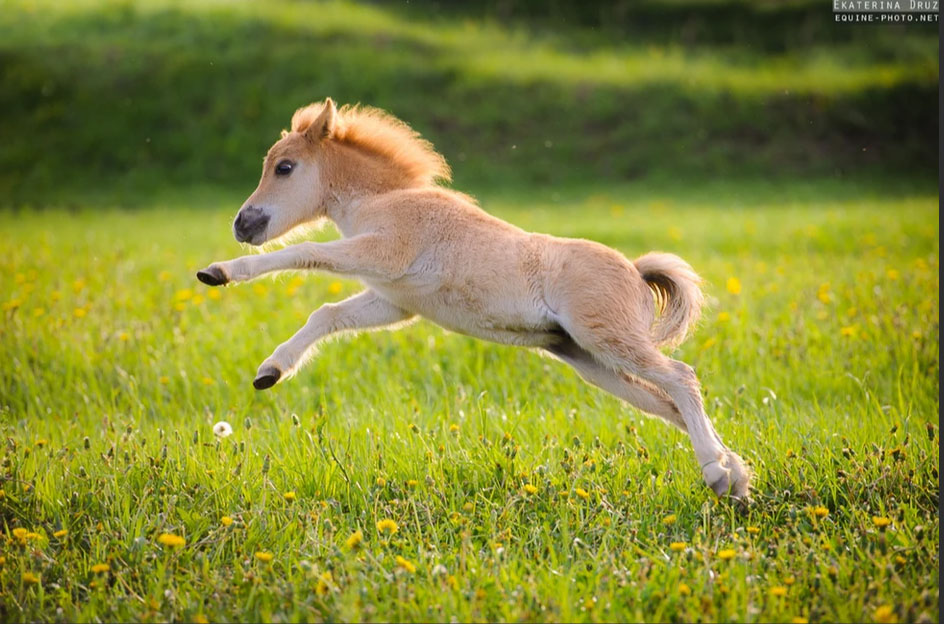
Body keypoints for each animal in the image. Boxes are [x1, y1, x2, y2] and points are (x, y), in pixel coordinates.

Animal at [195, 98, 748, 498]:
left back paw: (716, 474)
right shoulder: (395, 300)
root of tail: (634, 271)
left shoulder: (384, 253)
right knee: (668, 404)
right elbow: (327, 314)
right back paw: (736, 476)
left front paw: (218, 272)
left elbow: (306, 251)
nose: (243, 224)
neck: (384, 200)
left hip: (606, 337)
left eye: (285, 167)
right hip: (586, 358)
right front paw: (270, 372)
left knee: (682, 378)